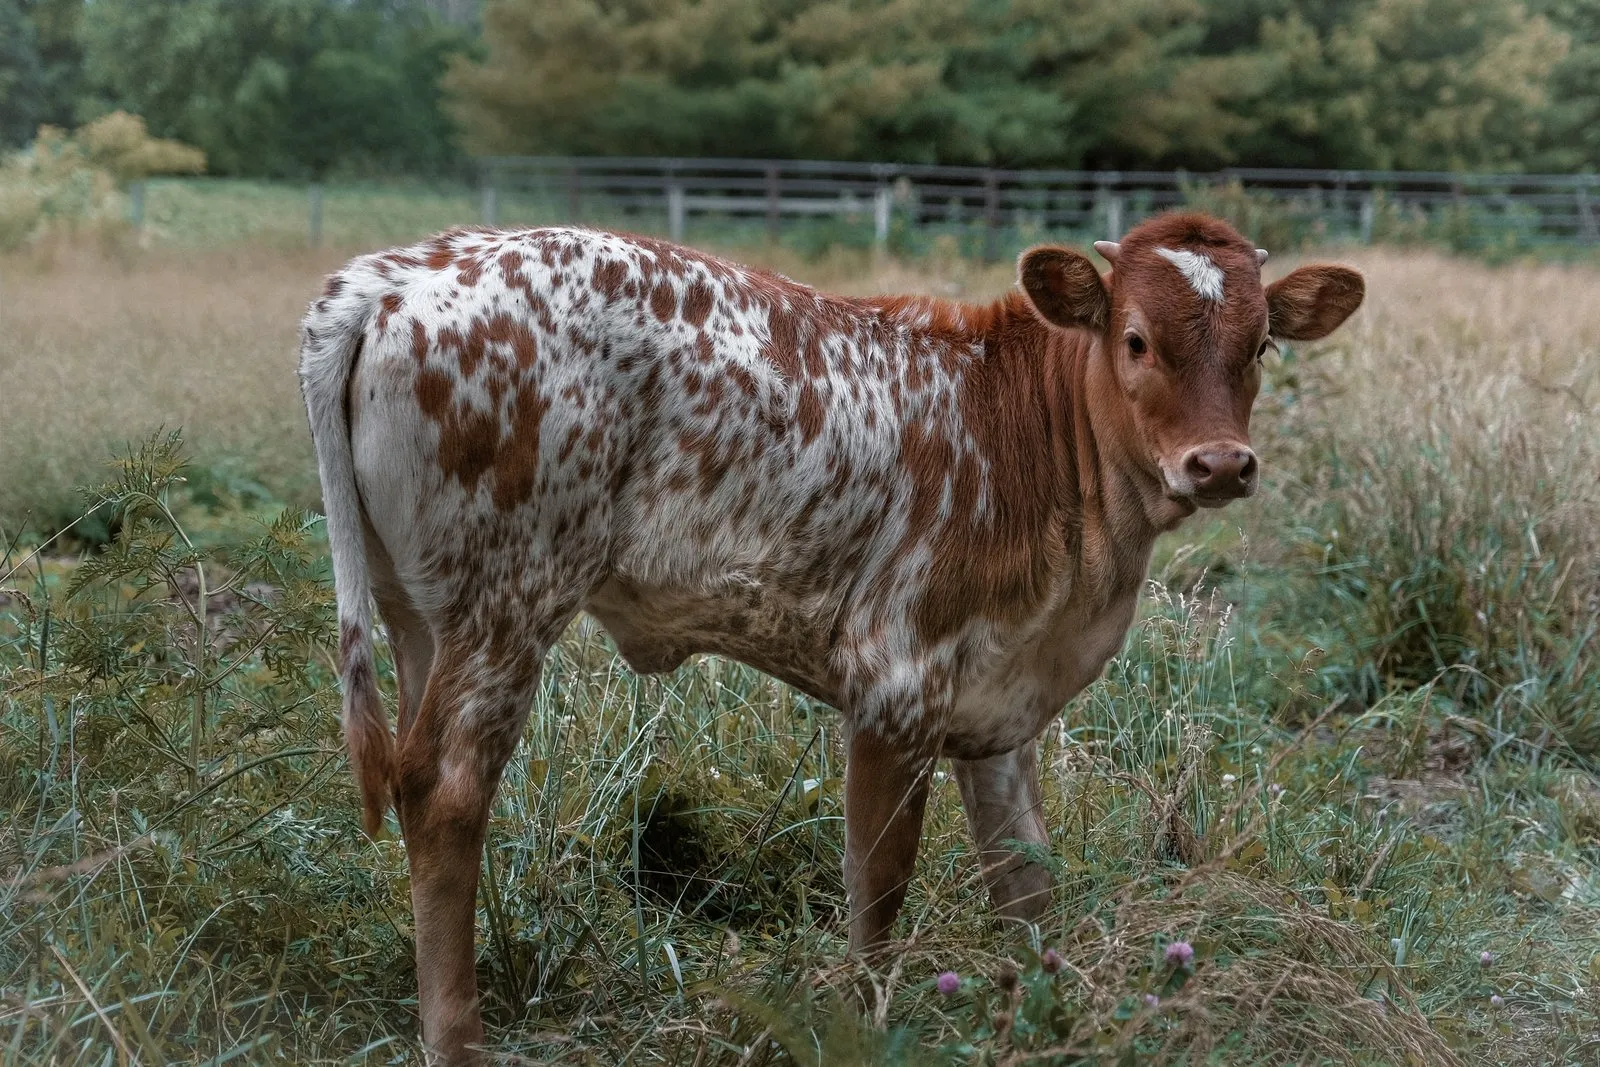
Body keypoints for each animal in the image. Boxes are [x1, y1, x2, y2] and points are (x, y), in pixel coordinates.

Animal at [298, 212, 1364, 1062]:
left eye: (1261, 345)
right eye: (1136, 340)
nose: (1219, 463)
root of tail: (393, 275)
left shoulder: (998, 704)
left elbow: (1024, 881)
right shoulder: (898, 682)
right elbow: (878, 882)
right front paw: (866, 1018)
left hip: (421, 615)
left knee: (411, 772)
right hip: (507, 605)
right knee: (446, 791)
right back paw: (458, 1038)